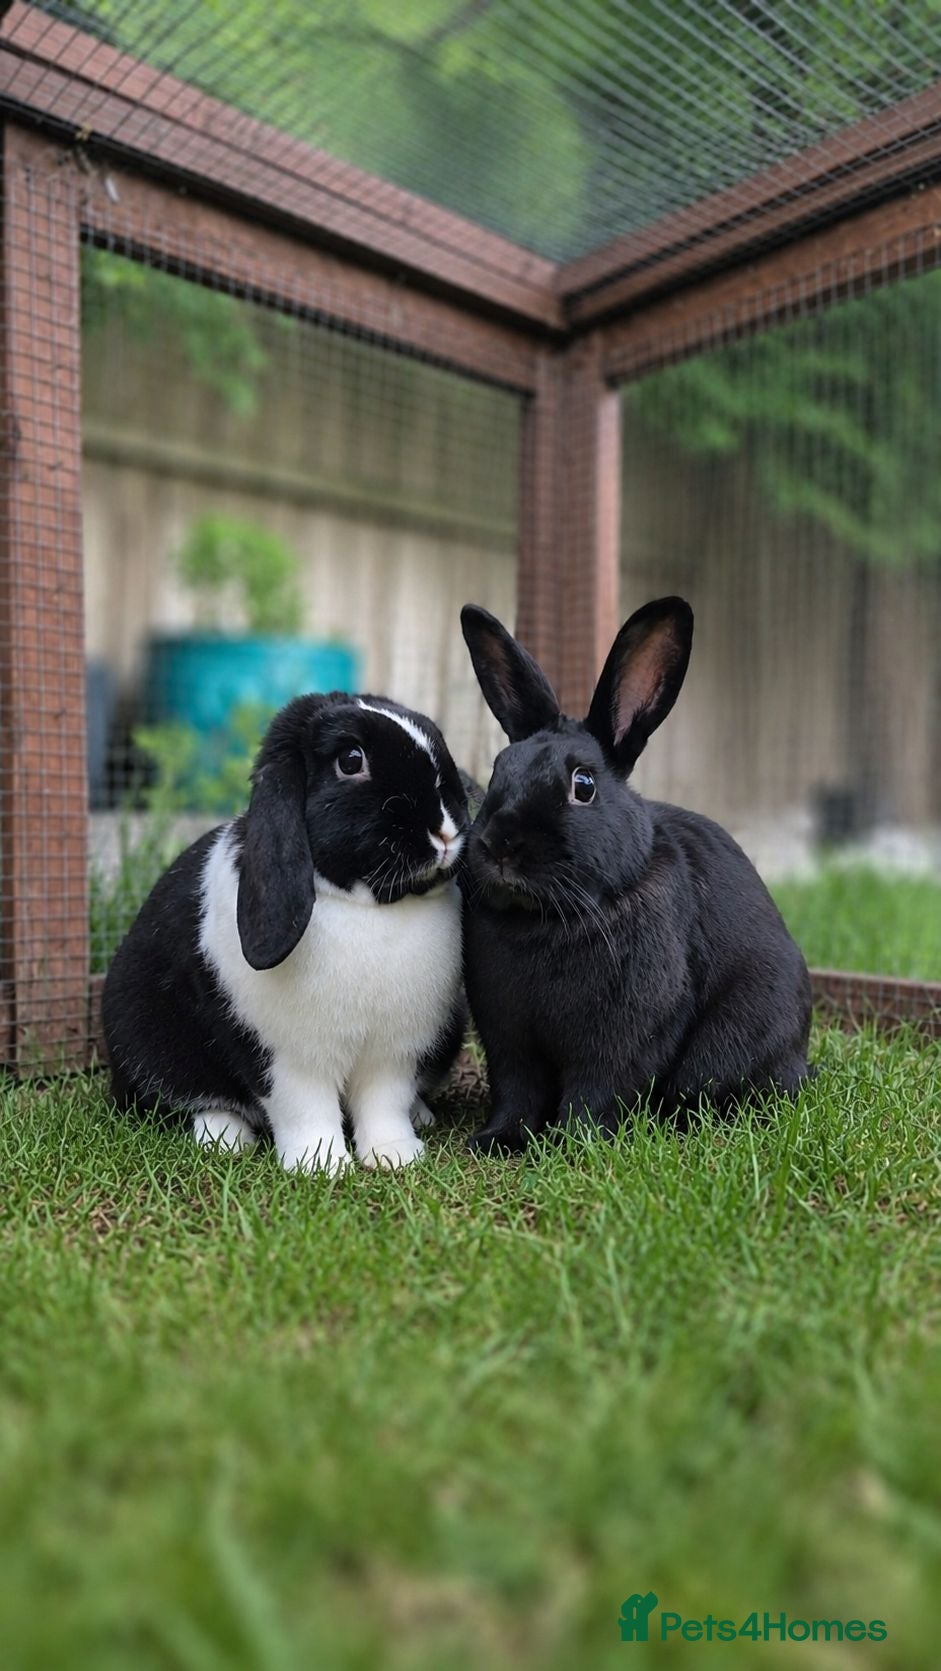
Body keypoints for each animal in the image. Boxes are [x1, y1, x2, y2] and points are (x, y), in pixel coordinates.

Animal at [102, 692, 471, 1173]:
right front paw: (322, 1167)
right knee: (198, 1098)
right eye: (351, 760)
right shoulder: (285, 1060)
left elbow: (383, 1105)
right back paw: (224, 1139)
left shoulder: (394, 1055)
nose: (445, 829)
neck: (368, 908)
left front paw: (395, 1156)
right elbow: (305, 1111)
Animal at [459, 597, 813, 1152]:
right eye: (498, 769)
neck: (544, 919)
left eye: (583, 785)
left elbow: (597, 1091)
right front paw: (495, 1140)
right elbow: (517, 1093)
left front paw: (574, 1145)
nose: (500, 845)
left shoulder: (627, 1035)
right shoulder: (508, 1040)